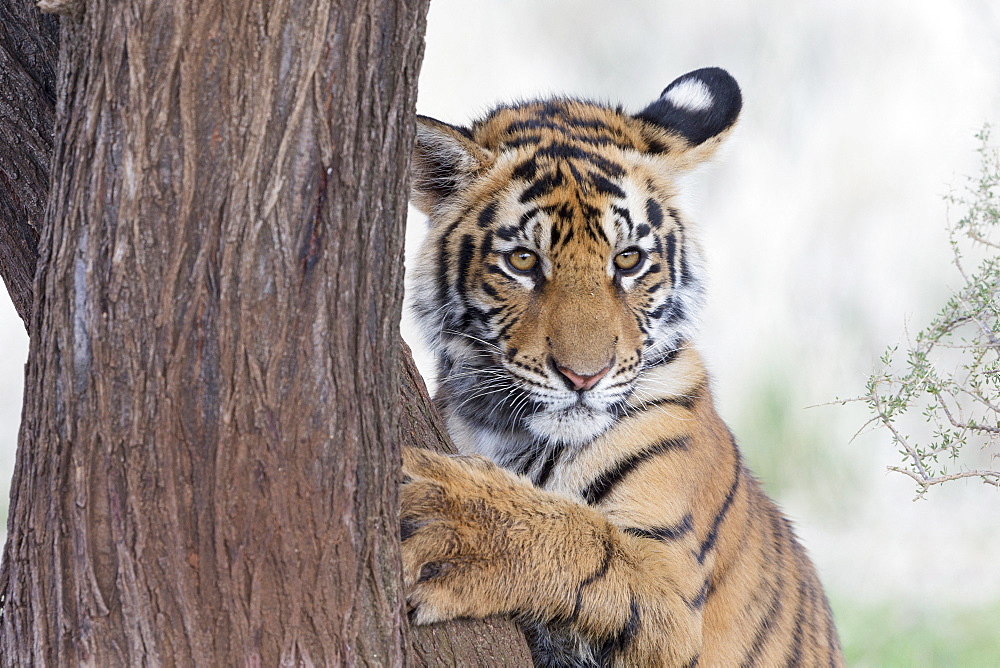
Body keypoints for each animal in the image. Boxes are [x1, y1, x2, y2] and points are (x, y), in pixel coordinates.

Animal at [400, 69, 844, 668]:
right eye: (523, 261)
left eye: (628, 259)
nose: (583, 377)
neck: (506, 433)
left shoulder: (675, 601)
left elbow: (588, 544)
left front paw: (451, 519)